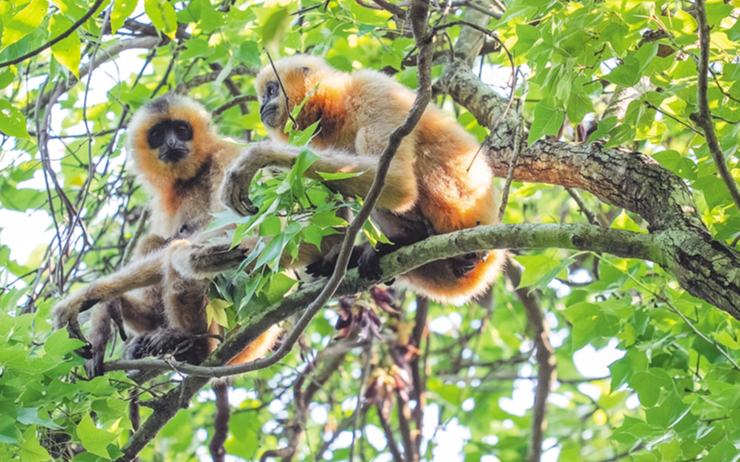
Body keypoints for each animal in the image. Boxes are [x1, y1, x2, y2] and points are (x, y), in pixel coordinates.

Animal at [52, 94, 281, 375]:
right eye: (158, 135)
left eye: (181, 130)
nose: (172, 143)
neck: (192, 176)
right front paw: (97, 304)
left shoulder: (228, 154)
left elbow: (247, 229)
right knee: (153, 242)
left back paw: (192, 344)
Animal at [220, 55, 504, 304]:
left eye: (270, 90)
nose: (261, 106)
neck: (337, 108)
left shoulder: (374, 91)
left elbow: (397, 182)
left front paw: (259, 156)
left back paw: (402, 241)